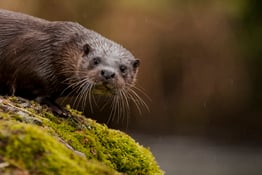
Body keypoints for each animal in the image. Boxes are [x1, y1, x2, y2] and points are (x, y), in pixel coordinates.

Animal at [0, 8, 145, 117]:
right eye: (95, 60)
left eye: (123, 68)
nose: (108, 73)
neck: (57, 49)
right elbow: (36, 93)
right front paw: (59, 109)